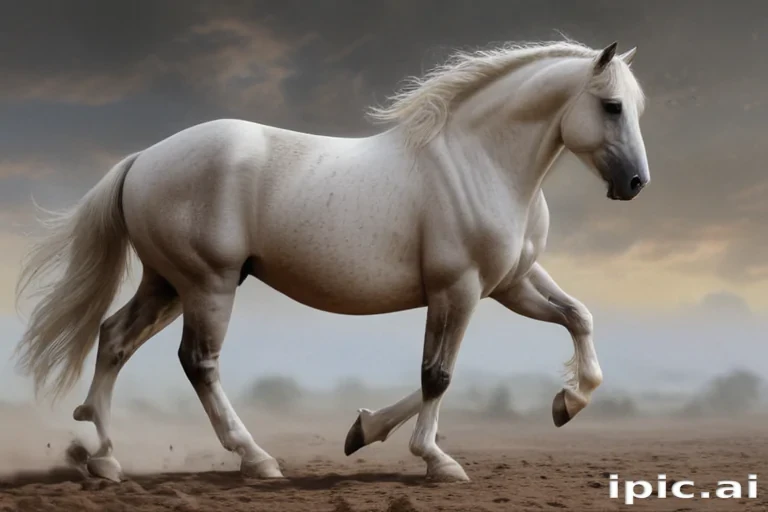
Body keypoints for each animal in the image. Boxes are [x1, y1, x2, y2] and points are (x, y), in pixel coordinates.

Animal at [13, 39, 649, 483]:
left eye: (633, 107)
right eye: (612, 106)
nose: (636, 184)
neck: (479, 162)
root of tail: (144, 158)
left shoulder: (510, 283)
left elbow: (578, 318)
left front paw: (567, 402)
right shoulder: (459, 289)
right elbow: (438, 375)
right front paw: (436, 461)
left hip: (167, 284)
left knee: (114, 339)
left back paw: (102, 458)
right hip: (207, 284)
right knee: (198, 363)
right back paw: (256, 460)